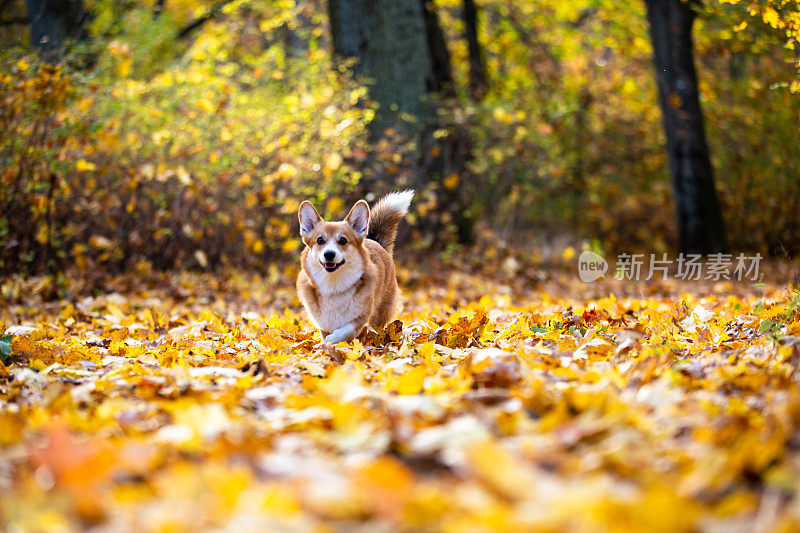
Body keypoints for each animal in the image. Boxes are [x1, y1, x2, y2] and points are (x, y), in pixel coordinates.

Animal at [296, 189, 416, 348]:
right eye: (320, 240)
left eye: (343, 240)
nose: (329, 254)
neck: (334, 285)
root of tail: (374, 240)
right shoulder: (322, 322)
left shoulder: (361, 317)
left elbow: (346, 330)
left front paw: (333, 339)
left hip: (381, 312)